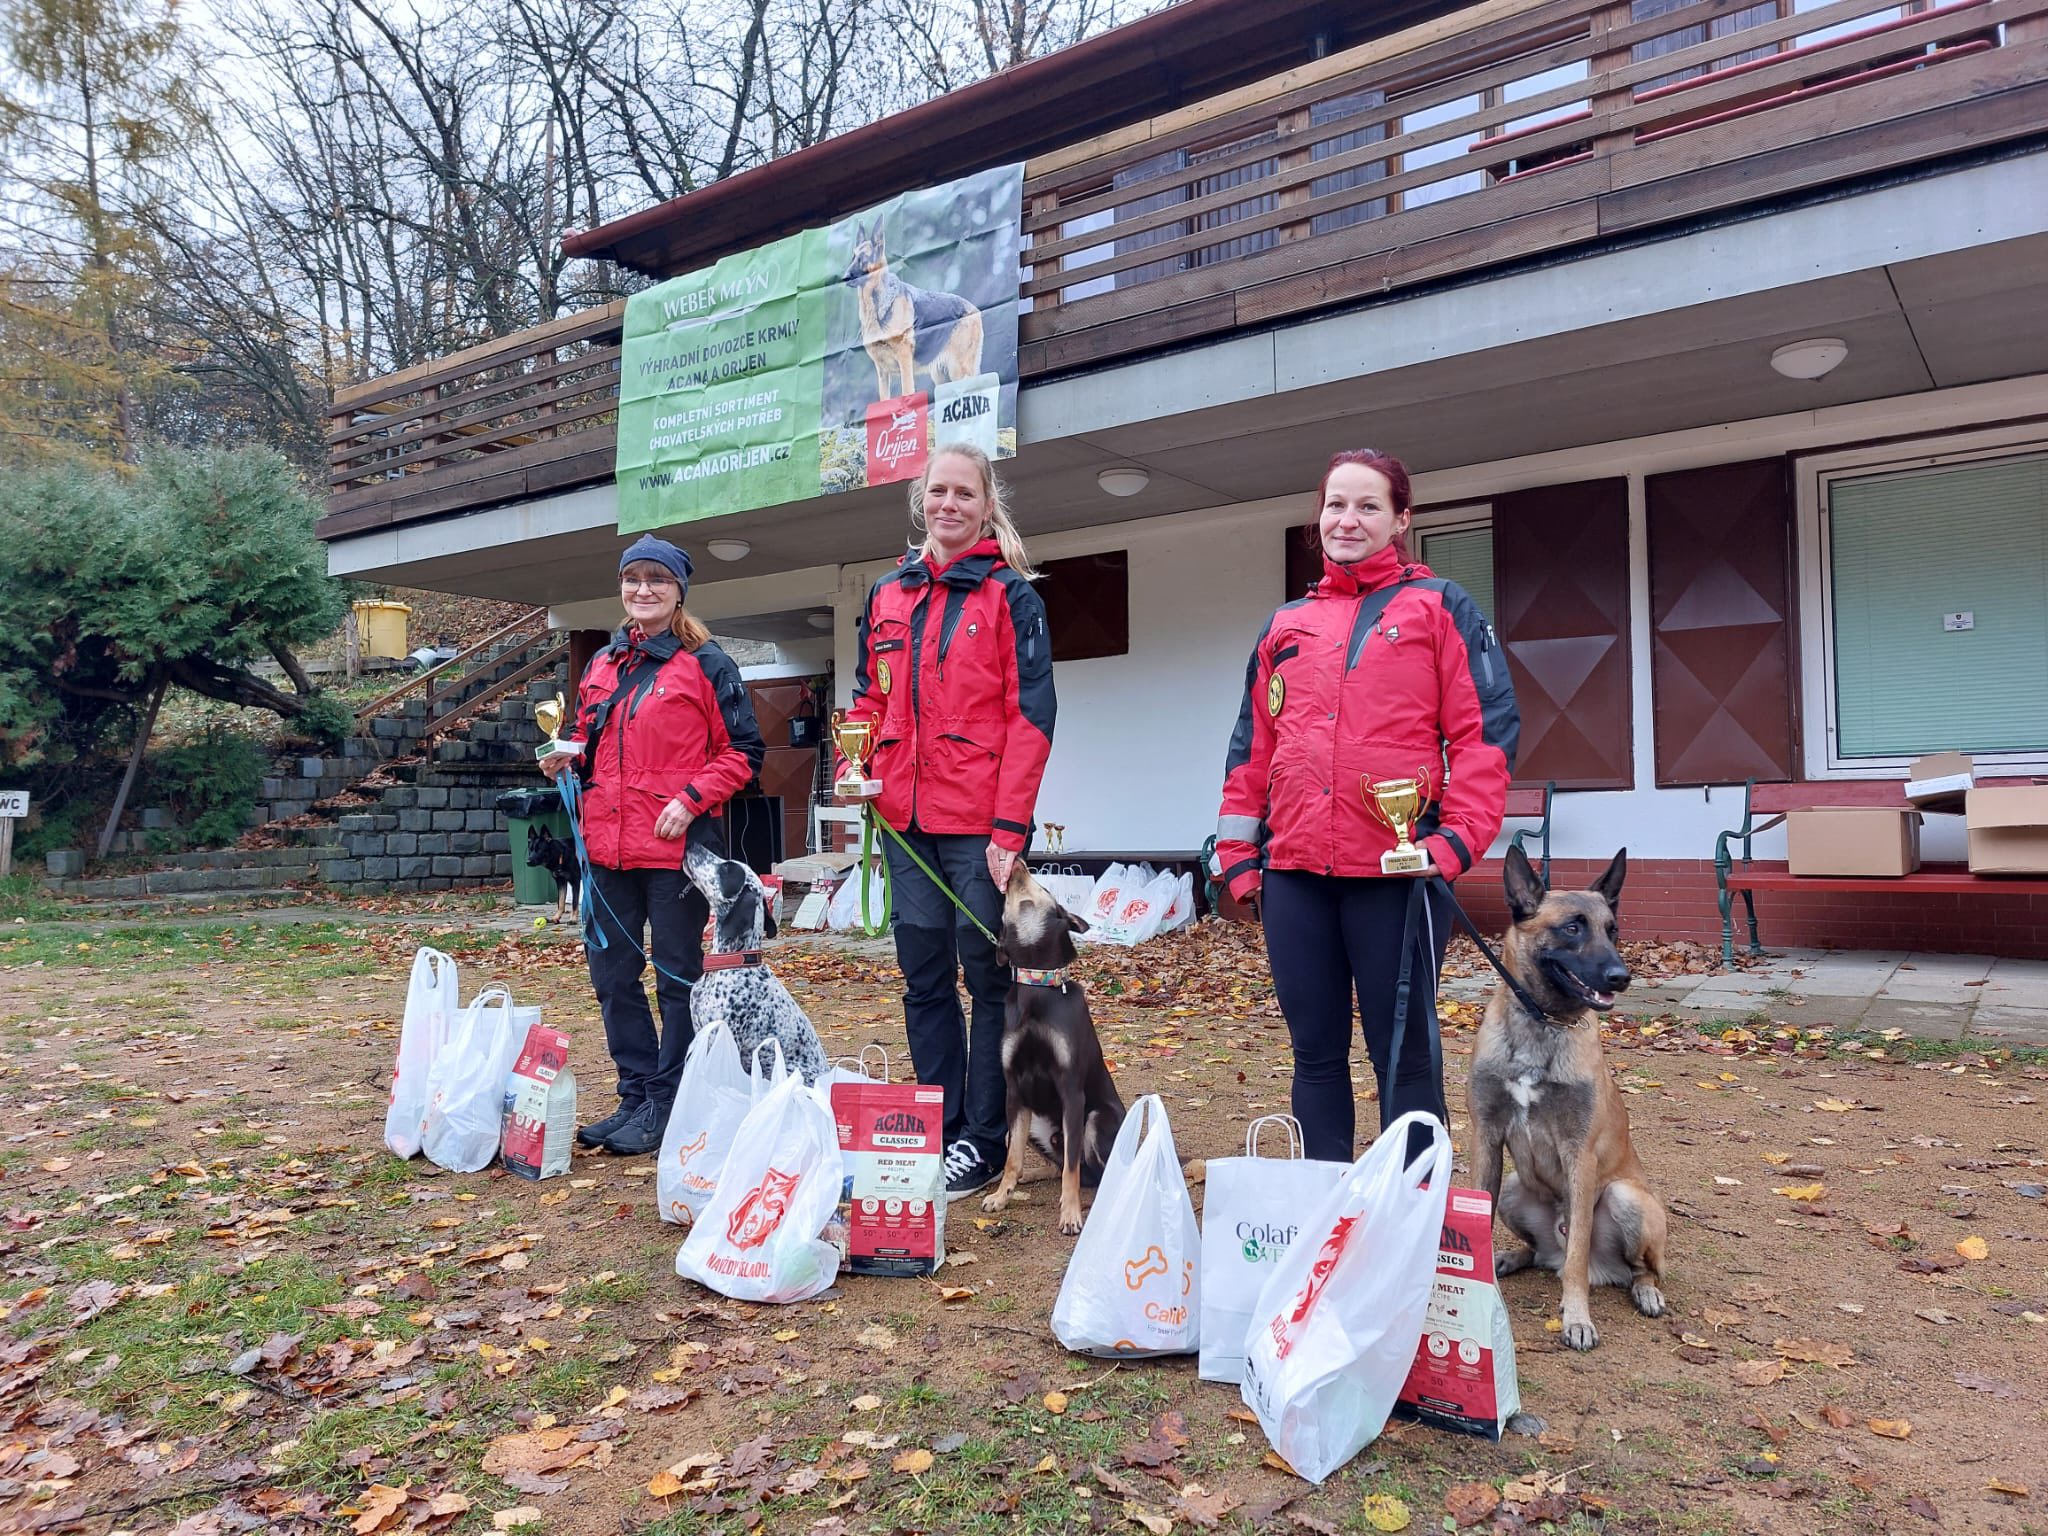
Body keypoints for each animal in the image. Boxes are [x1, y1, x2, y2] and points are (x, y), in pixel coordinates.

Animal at [841, 220, 984, 401]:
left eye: (863, 258)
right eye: (853, 258)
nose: (844, 278)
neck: (876, 306)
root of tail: (974, 309)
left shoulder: (904, 362)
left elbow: (907, 394)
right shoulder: (882, 372)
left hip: (959, 371)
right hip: (941, 375)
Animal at [979, 862, 1126, 1235]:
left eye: (1043, 886)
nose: (1016, 862)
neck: (1037, 985)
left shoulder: (1071, 1090)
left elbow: (1072, 1170)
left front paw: (1070, 1213)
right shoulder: (1014, 1090)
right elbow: (1012, 1158)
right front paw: (1002, 1195)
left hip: (1097, 1118)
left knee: (1088, 1169)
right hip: (1031, 1123)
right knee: (1055, 1164)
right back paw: (1026, 1177)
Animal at [1466, 845, 1668, 1351]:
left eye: (1612, 929)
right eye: (1572, 927)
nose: (1621, 976)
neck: (1543, 1023)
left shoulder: (1580, 1154)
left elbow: (1576, 1252)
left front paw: (1576, 1317)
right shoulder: (1486, 1138)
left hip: (1626, 1198)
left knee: (1638, 1269)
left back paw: (1645, 1292)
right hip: (1514, 1187)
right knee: (1539, 1251)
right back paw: (1511, 1257)